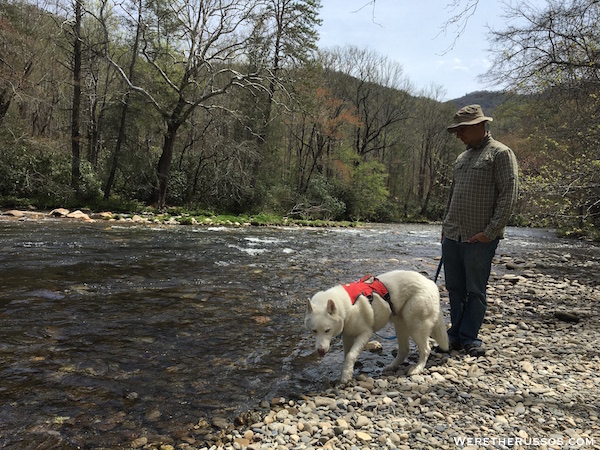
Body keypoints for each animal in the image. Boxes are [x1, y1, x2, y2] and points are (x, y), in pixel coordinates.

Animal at [308, 270, 448, 384]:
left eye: (327, 330)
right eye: (314, 331)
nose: (320, 351)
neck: (346, 305)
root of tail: (431, 283)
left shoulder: (365, 333)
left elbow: (351, 355)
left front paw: (346, 376)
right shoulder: (347, 335)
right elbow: (347, 354)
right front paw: (347, 370)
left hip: (415, 326)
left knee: (426, 349)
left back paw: (417, 368)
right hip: (400, 326)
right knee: (404, 350)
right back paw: (392, 366)